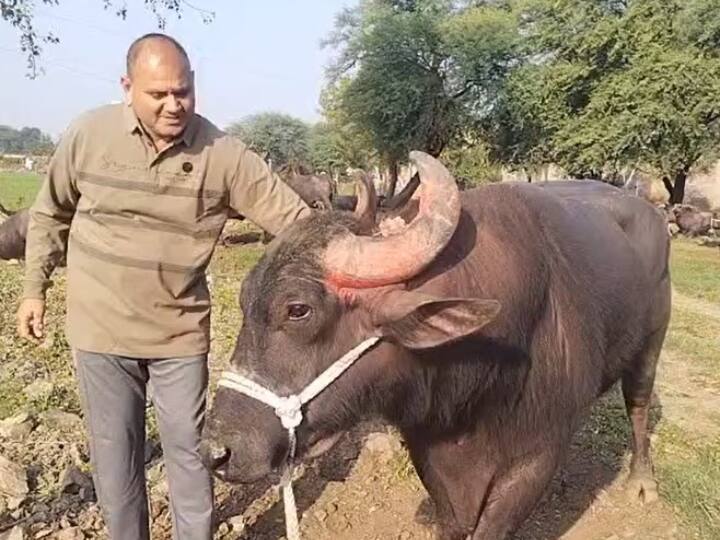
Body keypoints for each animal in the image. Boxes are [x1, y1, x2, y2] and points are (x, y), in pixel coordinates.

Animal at [201, 151, 670, 539]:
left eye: (297, 309)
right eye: (244, 302)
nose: (217, 452)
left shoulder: (536, 458)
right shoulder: (429, 450)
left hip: (651, 343)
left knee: (638, 403)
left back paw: (642, 481)